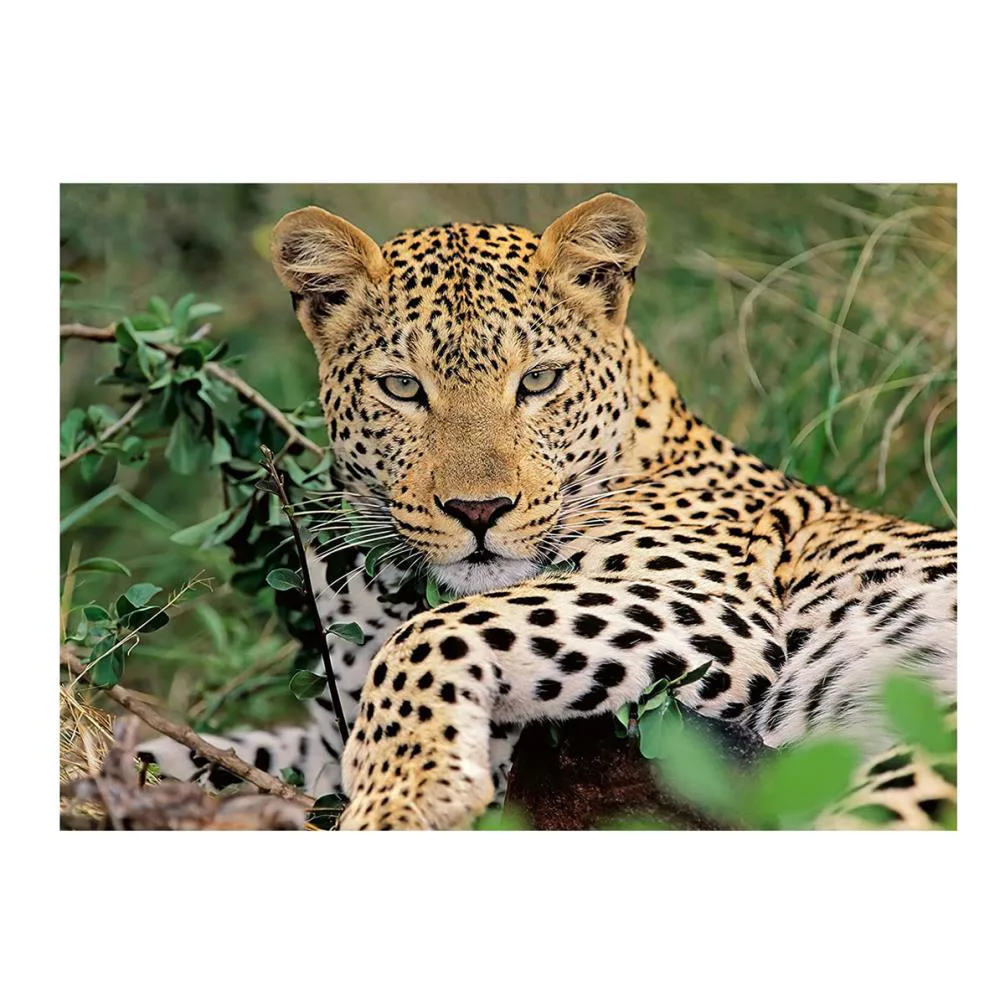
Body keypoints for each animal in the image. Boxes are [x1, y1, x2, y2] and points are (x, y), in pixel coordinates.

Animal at [139, 193, 957, 830]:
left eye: (537, 381)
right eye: (402, 387)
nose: (477, 510)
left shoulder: (713, 609)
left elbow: (433, 632)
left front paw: (403, 794)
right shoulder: (327, 727)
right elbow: (216, 748)